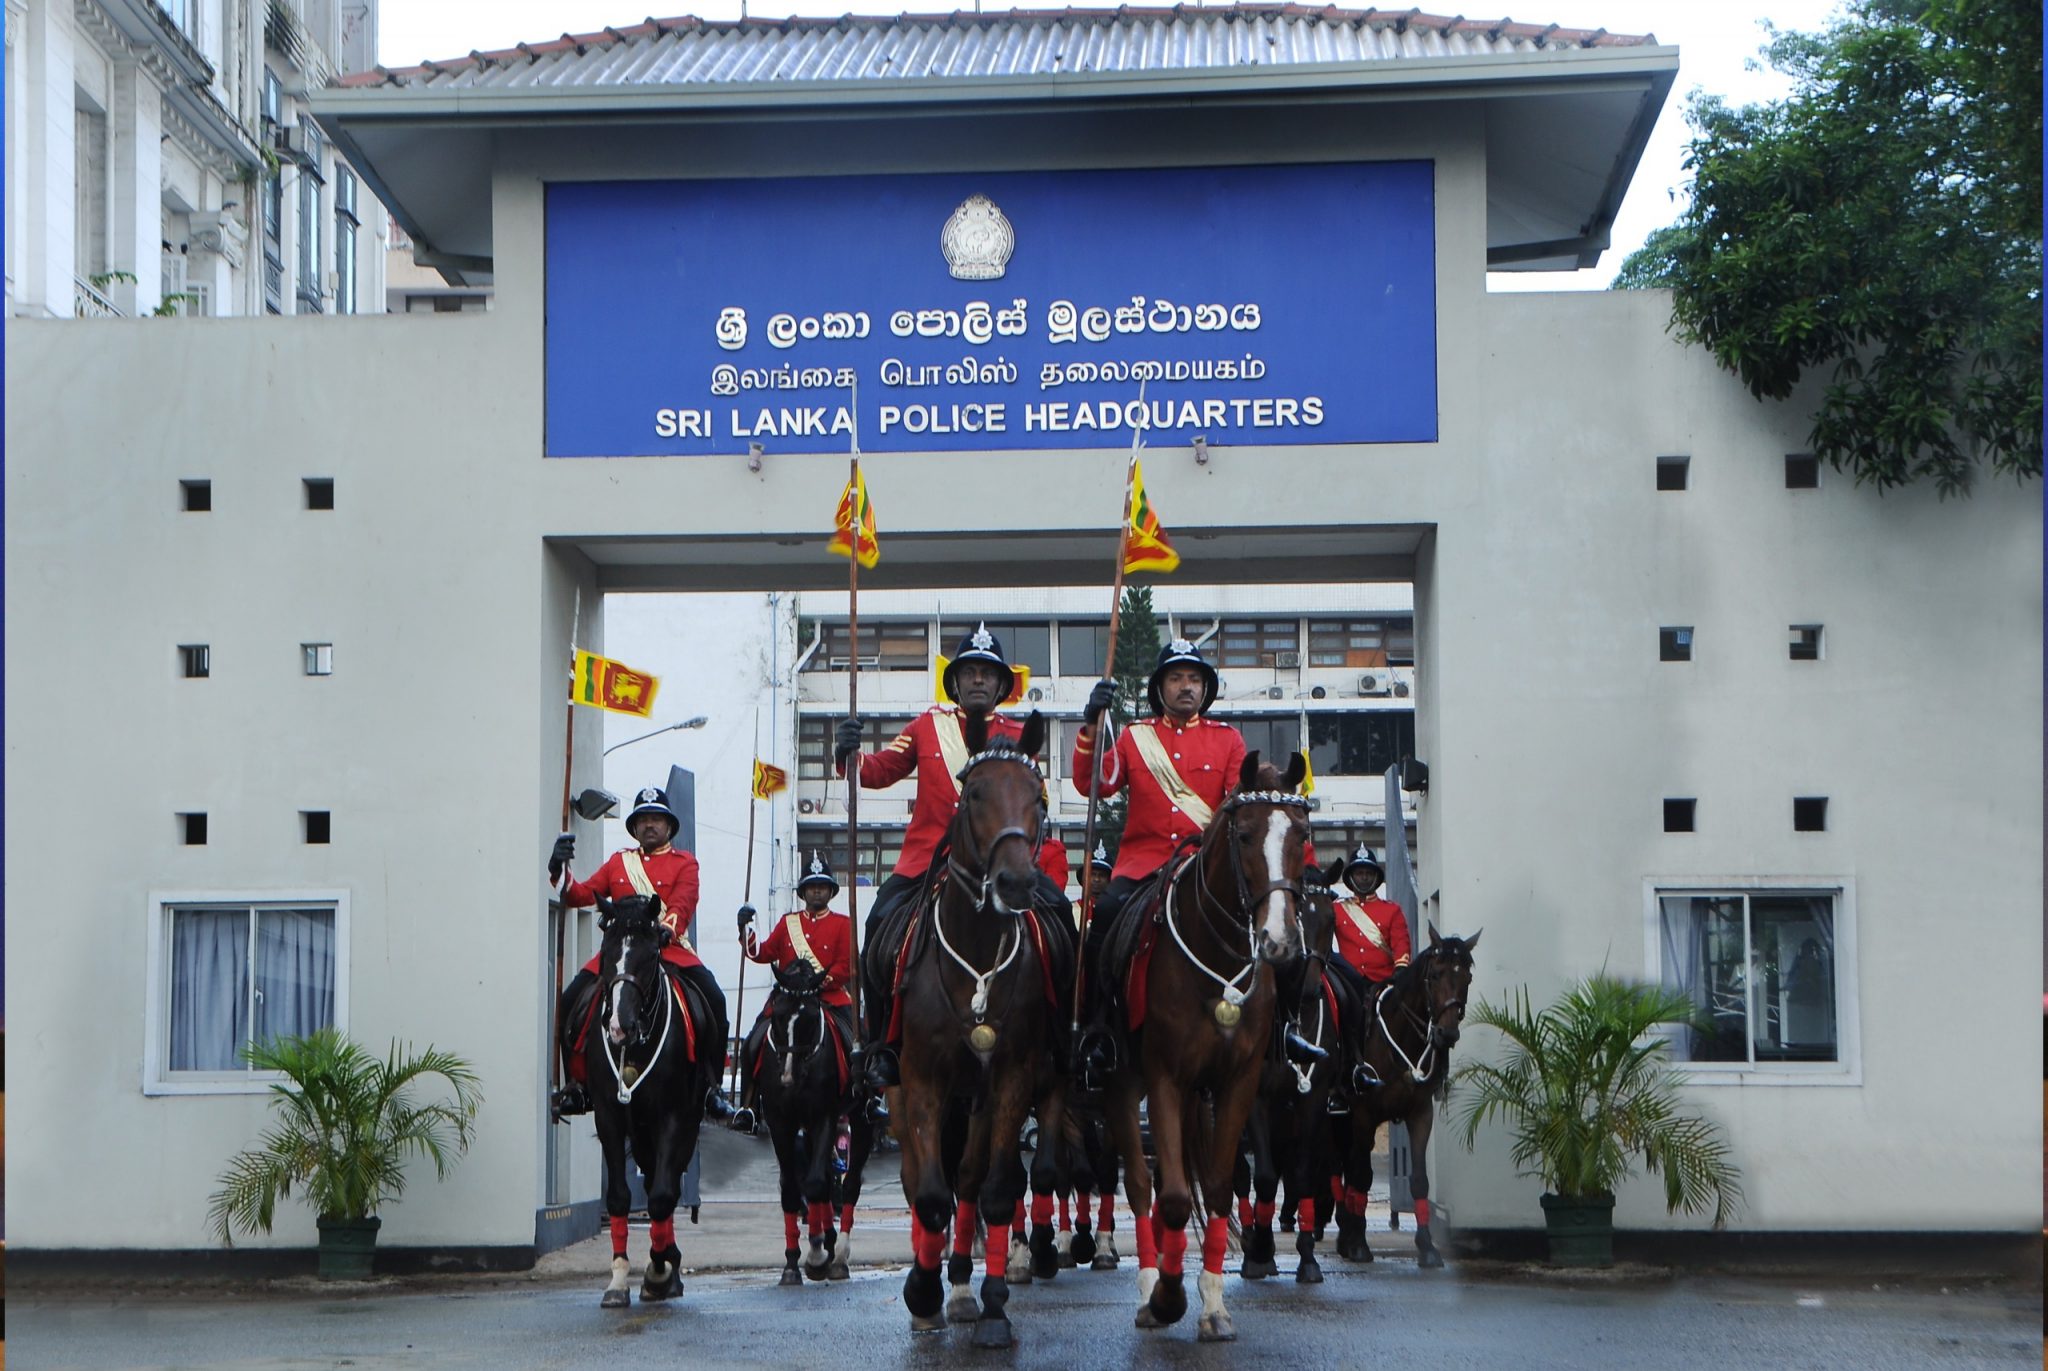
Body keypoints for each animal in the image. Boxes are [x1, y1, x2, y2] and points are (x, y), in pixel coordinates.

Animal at [577, 893, 712, 1308]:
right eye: (606, 951)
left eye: (652, 954)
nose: (619, 1027)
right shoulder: (609, 1117)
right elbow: (621, 1197)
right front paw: (619, 1279)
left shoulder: (673, 1118)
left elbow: (662, 1197)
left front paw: (658, 1270)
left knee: (662, 1186)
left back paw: (668, 1266)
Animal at [751, 958, 875, 1286]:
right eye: (778, 1016)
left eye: (809, 1019)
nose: (788, 1077)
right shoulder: (780, 1122)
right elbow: (792, 1187)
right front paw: (793, 1263)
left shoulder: (825, 1116)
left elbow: (818, 1182)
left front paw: (818, 1255)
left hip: (858, 1119)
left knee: (848, 1183)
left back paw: (838, 1254)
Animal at [865, 710, 1069, 1348]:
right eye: (974, 792)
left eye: (1037, 796)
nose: (1015, 883)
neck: (976, 955)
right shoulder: (922, 1080)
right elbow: (931, 1194)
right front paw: (922, 1292)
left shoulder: (1010, 1079)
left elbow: (997, 1190)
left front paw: (994, 1306)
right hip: (898, 1088)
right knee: (919, 1179)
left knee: (973, 1179)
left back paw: (961, 1283)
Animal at [1102, 752, 1310, 1342]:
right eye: (1244, 835)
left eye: (1302, 834)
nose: (1279, 943)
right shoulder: (1163, 1079)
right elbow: (1173, 1197)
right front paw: (1169, 1296)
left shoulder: (1238, 1083)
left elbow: (1217, 1189)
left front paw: (1214, 1304)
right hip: (1122, 1084)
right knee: (1141, 1185)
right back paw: (1149, 1287)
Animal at [1328, 924, 1480, 1270]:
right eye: (1435, 975)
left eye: (1466, 977)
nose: (1446, 1035)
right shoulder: (1364, 1116)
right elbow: (1362, 1175)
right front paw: (1359, 1244)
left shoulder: (1420, 1113)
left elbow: (1419, 1180)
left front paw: (1427, 1246)